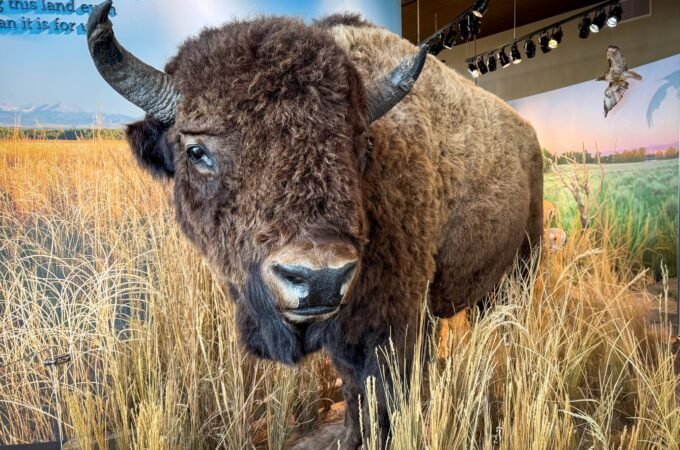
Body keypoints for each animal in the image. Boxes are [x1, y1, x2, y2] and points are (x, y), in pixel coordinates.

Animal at [87, 1, 543, 447]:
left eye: (362, 145)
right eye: (197, 151)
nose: (320, 278)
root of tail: (529, 136)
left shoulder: (398, 322)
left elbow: (388, 392)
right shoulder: (346, 330)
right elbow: (355, 388)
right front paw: (352, 437)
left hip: (522, 267)